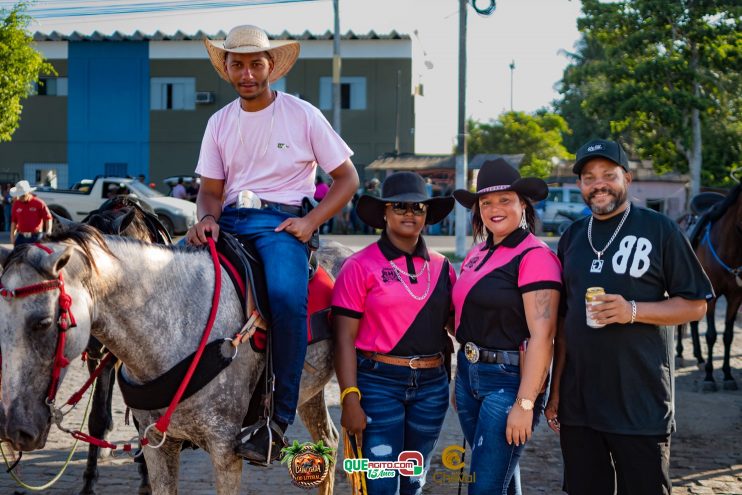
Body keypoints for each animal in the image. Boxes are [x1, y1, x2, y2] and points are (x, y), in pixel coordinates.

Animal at [0, 226, 352, 495]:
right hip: (308, 394)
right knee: (328, 442)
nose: (15, 429)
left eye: (43, 323)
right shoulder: (158, 447)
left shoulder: (225, 450)